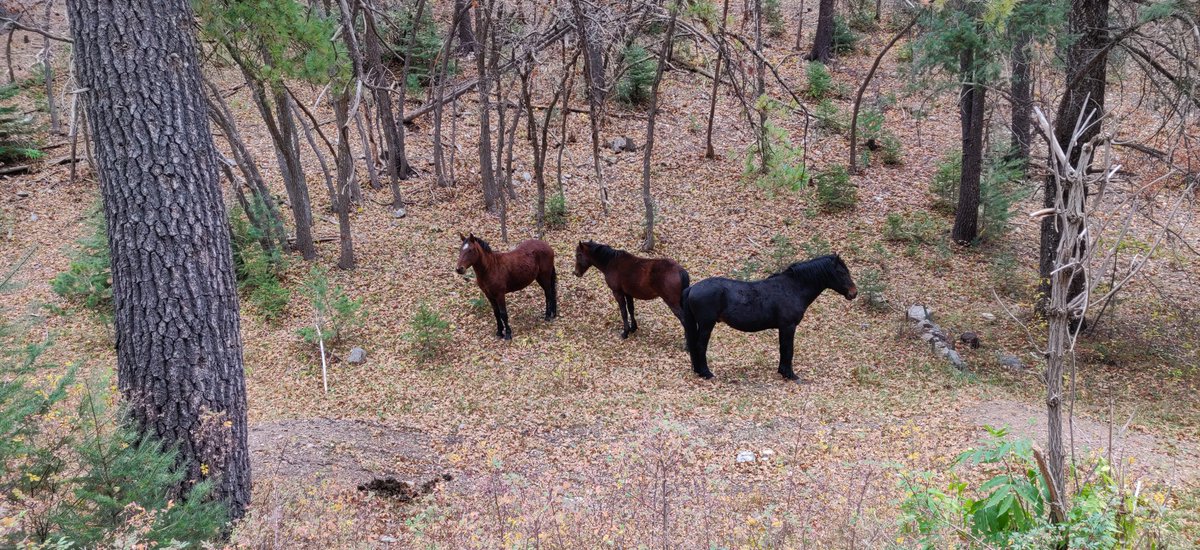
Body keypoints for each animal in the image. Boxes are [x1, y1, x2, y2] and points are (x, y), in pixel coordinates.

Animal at [681, 254, 857, 380]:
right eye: (841, 272)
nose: (853, 293)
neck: (792, 288)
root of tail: (692, 288)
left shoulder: (784, 328)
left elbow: (783, 348)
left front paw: (783, 372)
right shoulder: (788, 326)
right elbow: (788, 349)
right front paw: (790, 375)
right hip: (707, 324)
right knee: (700, 346)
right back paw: (706, 373)